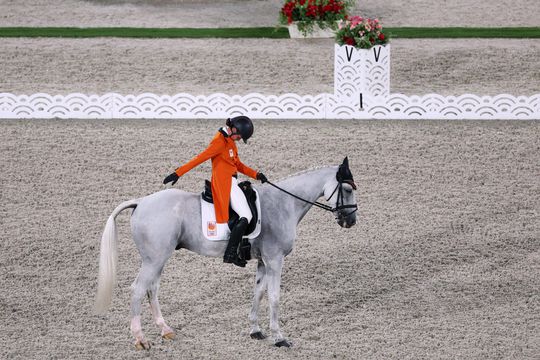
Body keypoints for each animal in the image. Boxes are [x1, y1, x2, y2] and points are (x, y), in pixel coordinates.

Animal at [96, 157, 358, 348]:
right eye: (347, 188)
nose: (351, 221)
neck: (283, 204)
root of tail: (141, 202)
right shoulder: (275, 260)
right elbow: (274, 297)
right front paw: (279, 337)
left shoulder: (263, 261)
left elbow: (258, 293)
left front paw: (256, 330)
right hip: (154, 259)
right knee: (138, 290)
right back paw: (141, 339)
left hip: (158, 259)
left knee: (152, 290)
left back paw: (165, 330)